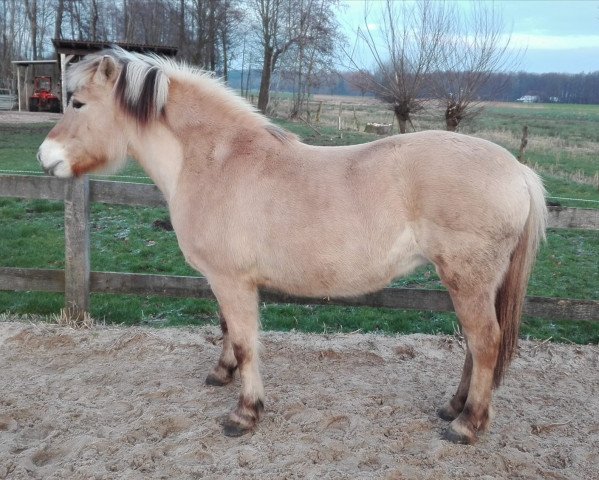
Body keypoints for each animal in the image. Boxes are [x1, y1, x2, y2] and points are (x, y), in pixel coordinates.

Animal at [35, 47, 548, 442]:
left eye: (77, 103)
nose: (45, 158)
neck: (217, 160)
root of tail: (517, 170)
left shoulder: (232, 280)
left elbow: (246, 342)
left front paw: (245, 413)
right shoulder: (224, 280)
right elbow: (227, 329)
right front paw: (221, 375)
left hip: (467, 280)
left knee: (484, 342)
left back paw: (467, 425)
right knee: (474, 346)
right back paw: (454, 407)